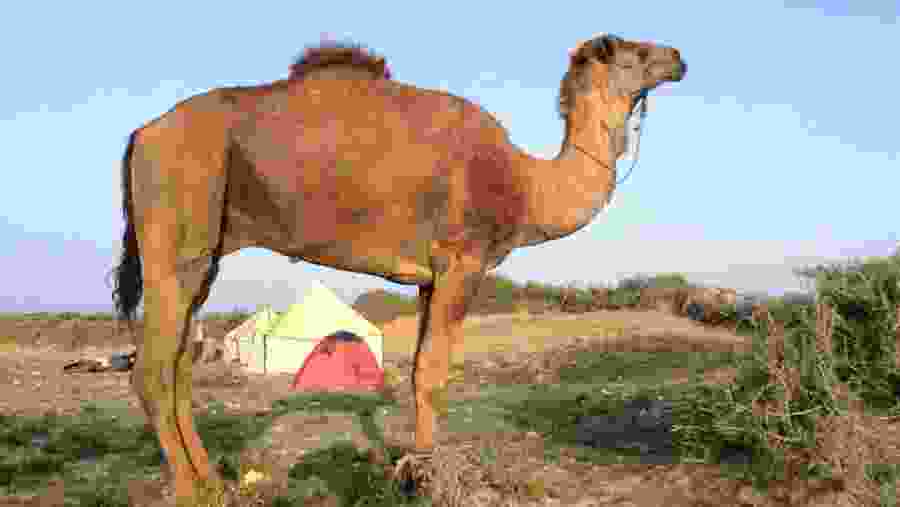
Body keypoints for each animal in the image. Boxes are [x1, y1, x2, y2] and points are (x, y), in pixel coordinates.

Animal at [112, 36, 686, 505]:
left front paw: (415, 466)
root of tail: (142, 133)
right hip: (178, 224)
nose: (678, 58)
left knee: (181, 363)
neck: (527, 183)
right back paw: (190, 490)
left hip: (205, 253)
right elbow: (433, 374)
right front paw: (428, 476)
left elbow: (416, 372)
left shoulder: (431, 277)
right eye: (634, 52)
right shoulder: (462, 261)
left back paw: (213, 481)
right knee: (152, 369)